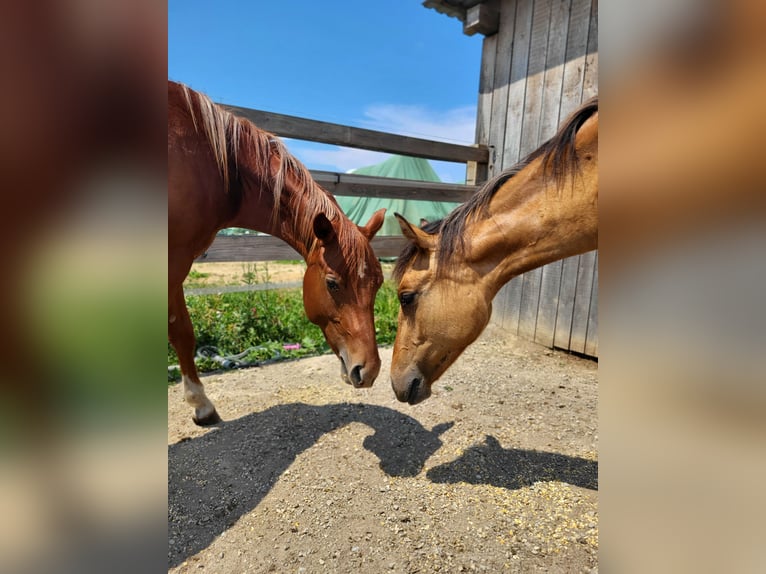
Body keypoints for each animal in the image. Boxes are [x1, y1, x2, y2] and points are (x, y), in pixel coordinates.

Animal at [168, 81, 386, 425]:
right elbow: (181, 331)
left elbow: (181, 333)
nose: (369, 370)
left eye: (378, 283)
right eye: (332, 284)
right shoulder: (172, 261)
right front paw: (200, 403)